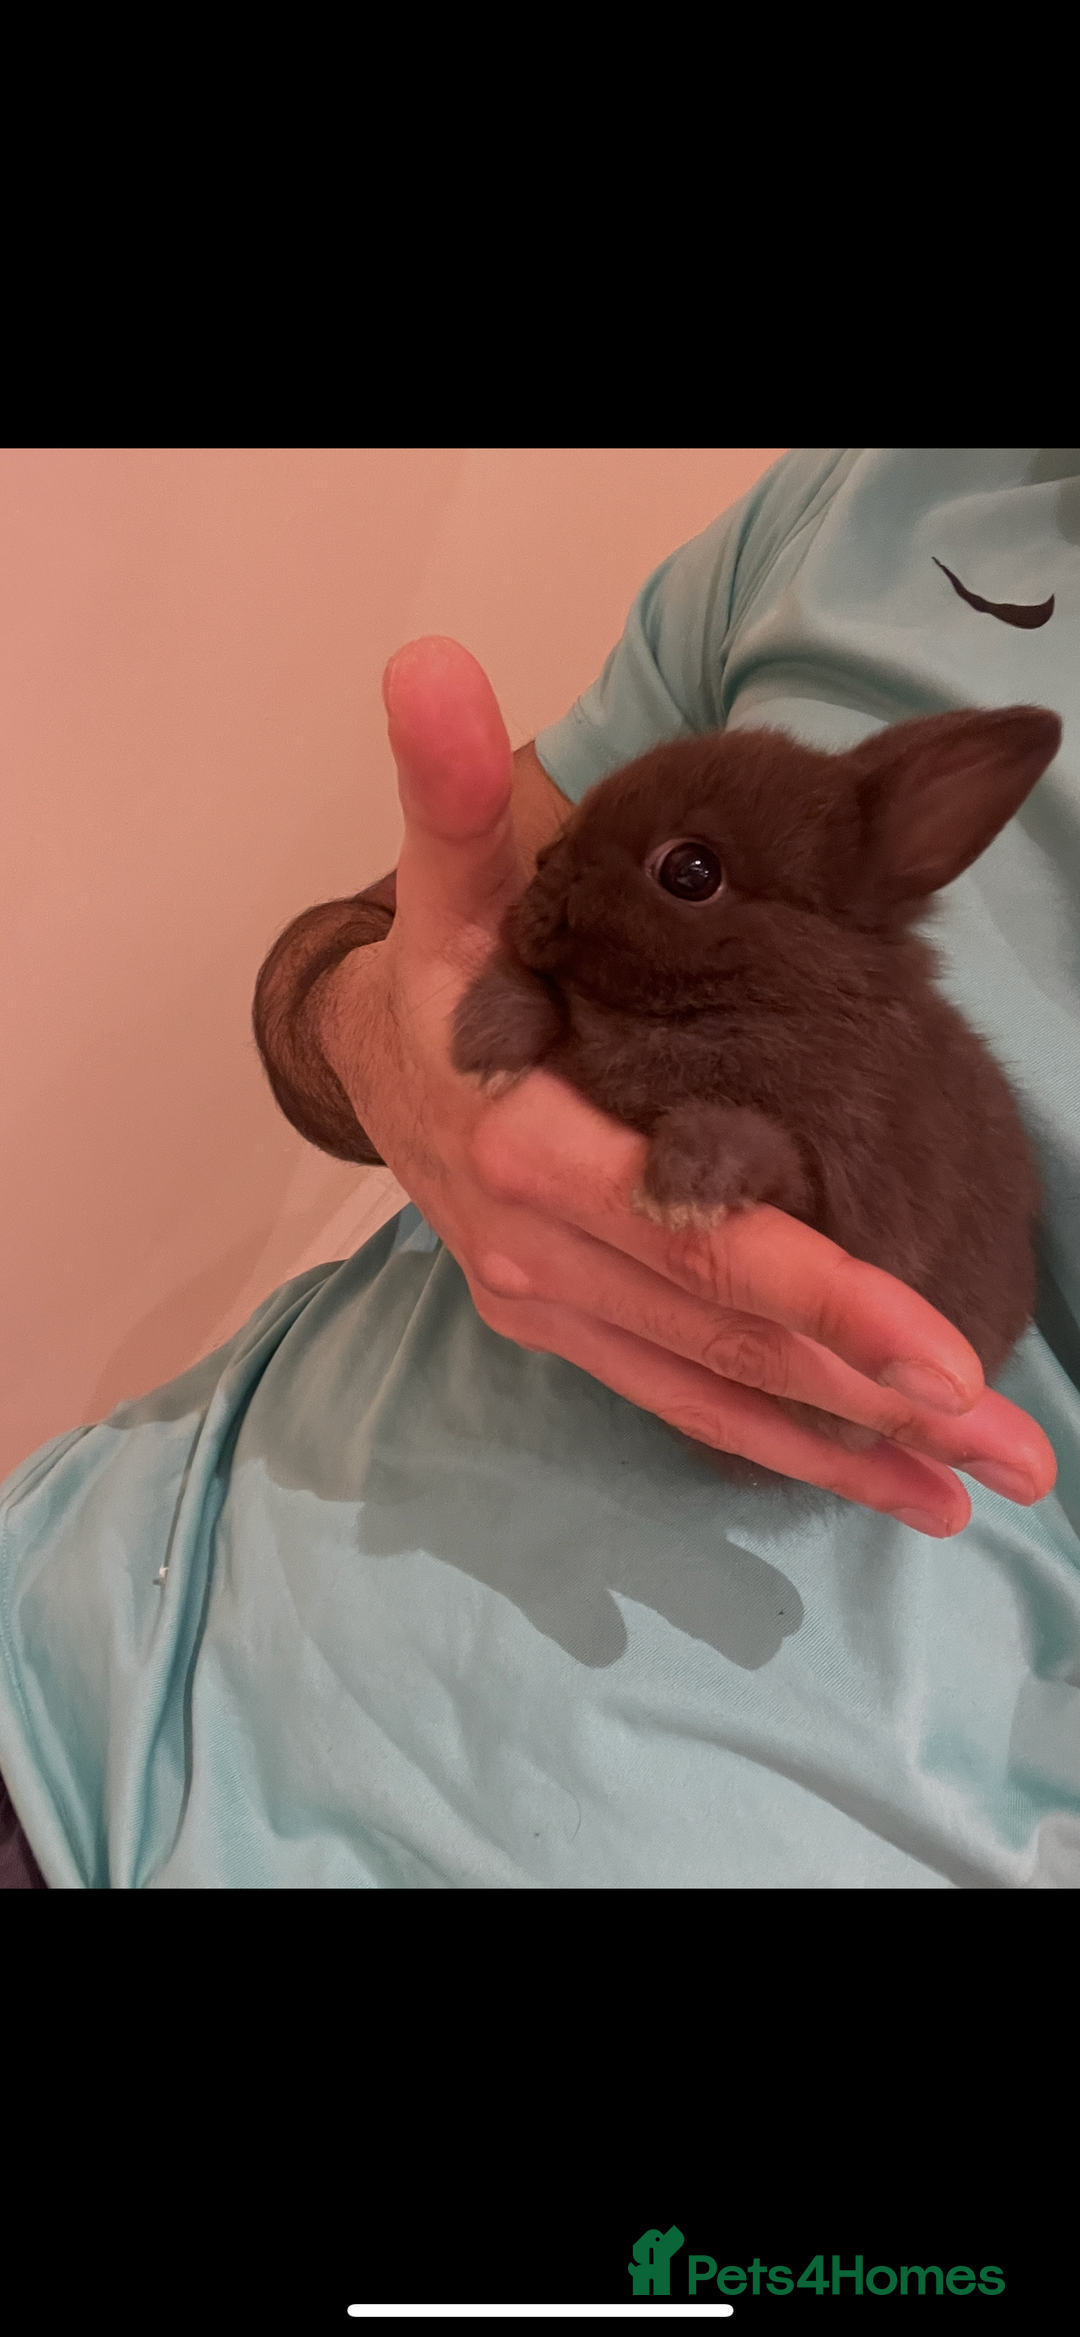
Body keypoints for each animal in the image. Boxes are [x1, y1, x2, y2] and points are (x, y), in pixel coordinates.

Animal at [450, 706, 1063, 1402]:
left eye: (691, 871)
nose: (546, 861)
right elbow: (544, 998)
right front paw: (485, 1042)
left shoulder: (837, 1202)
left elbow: (767, 1149)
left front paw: (683, 1190)